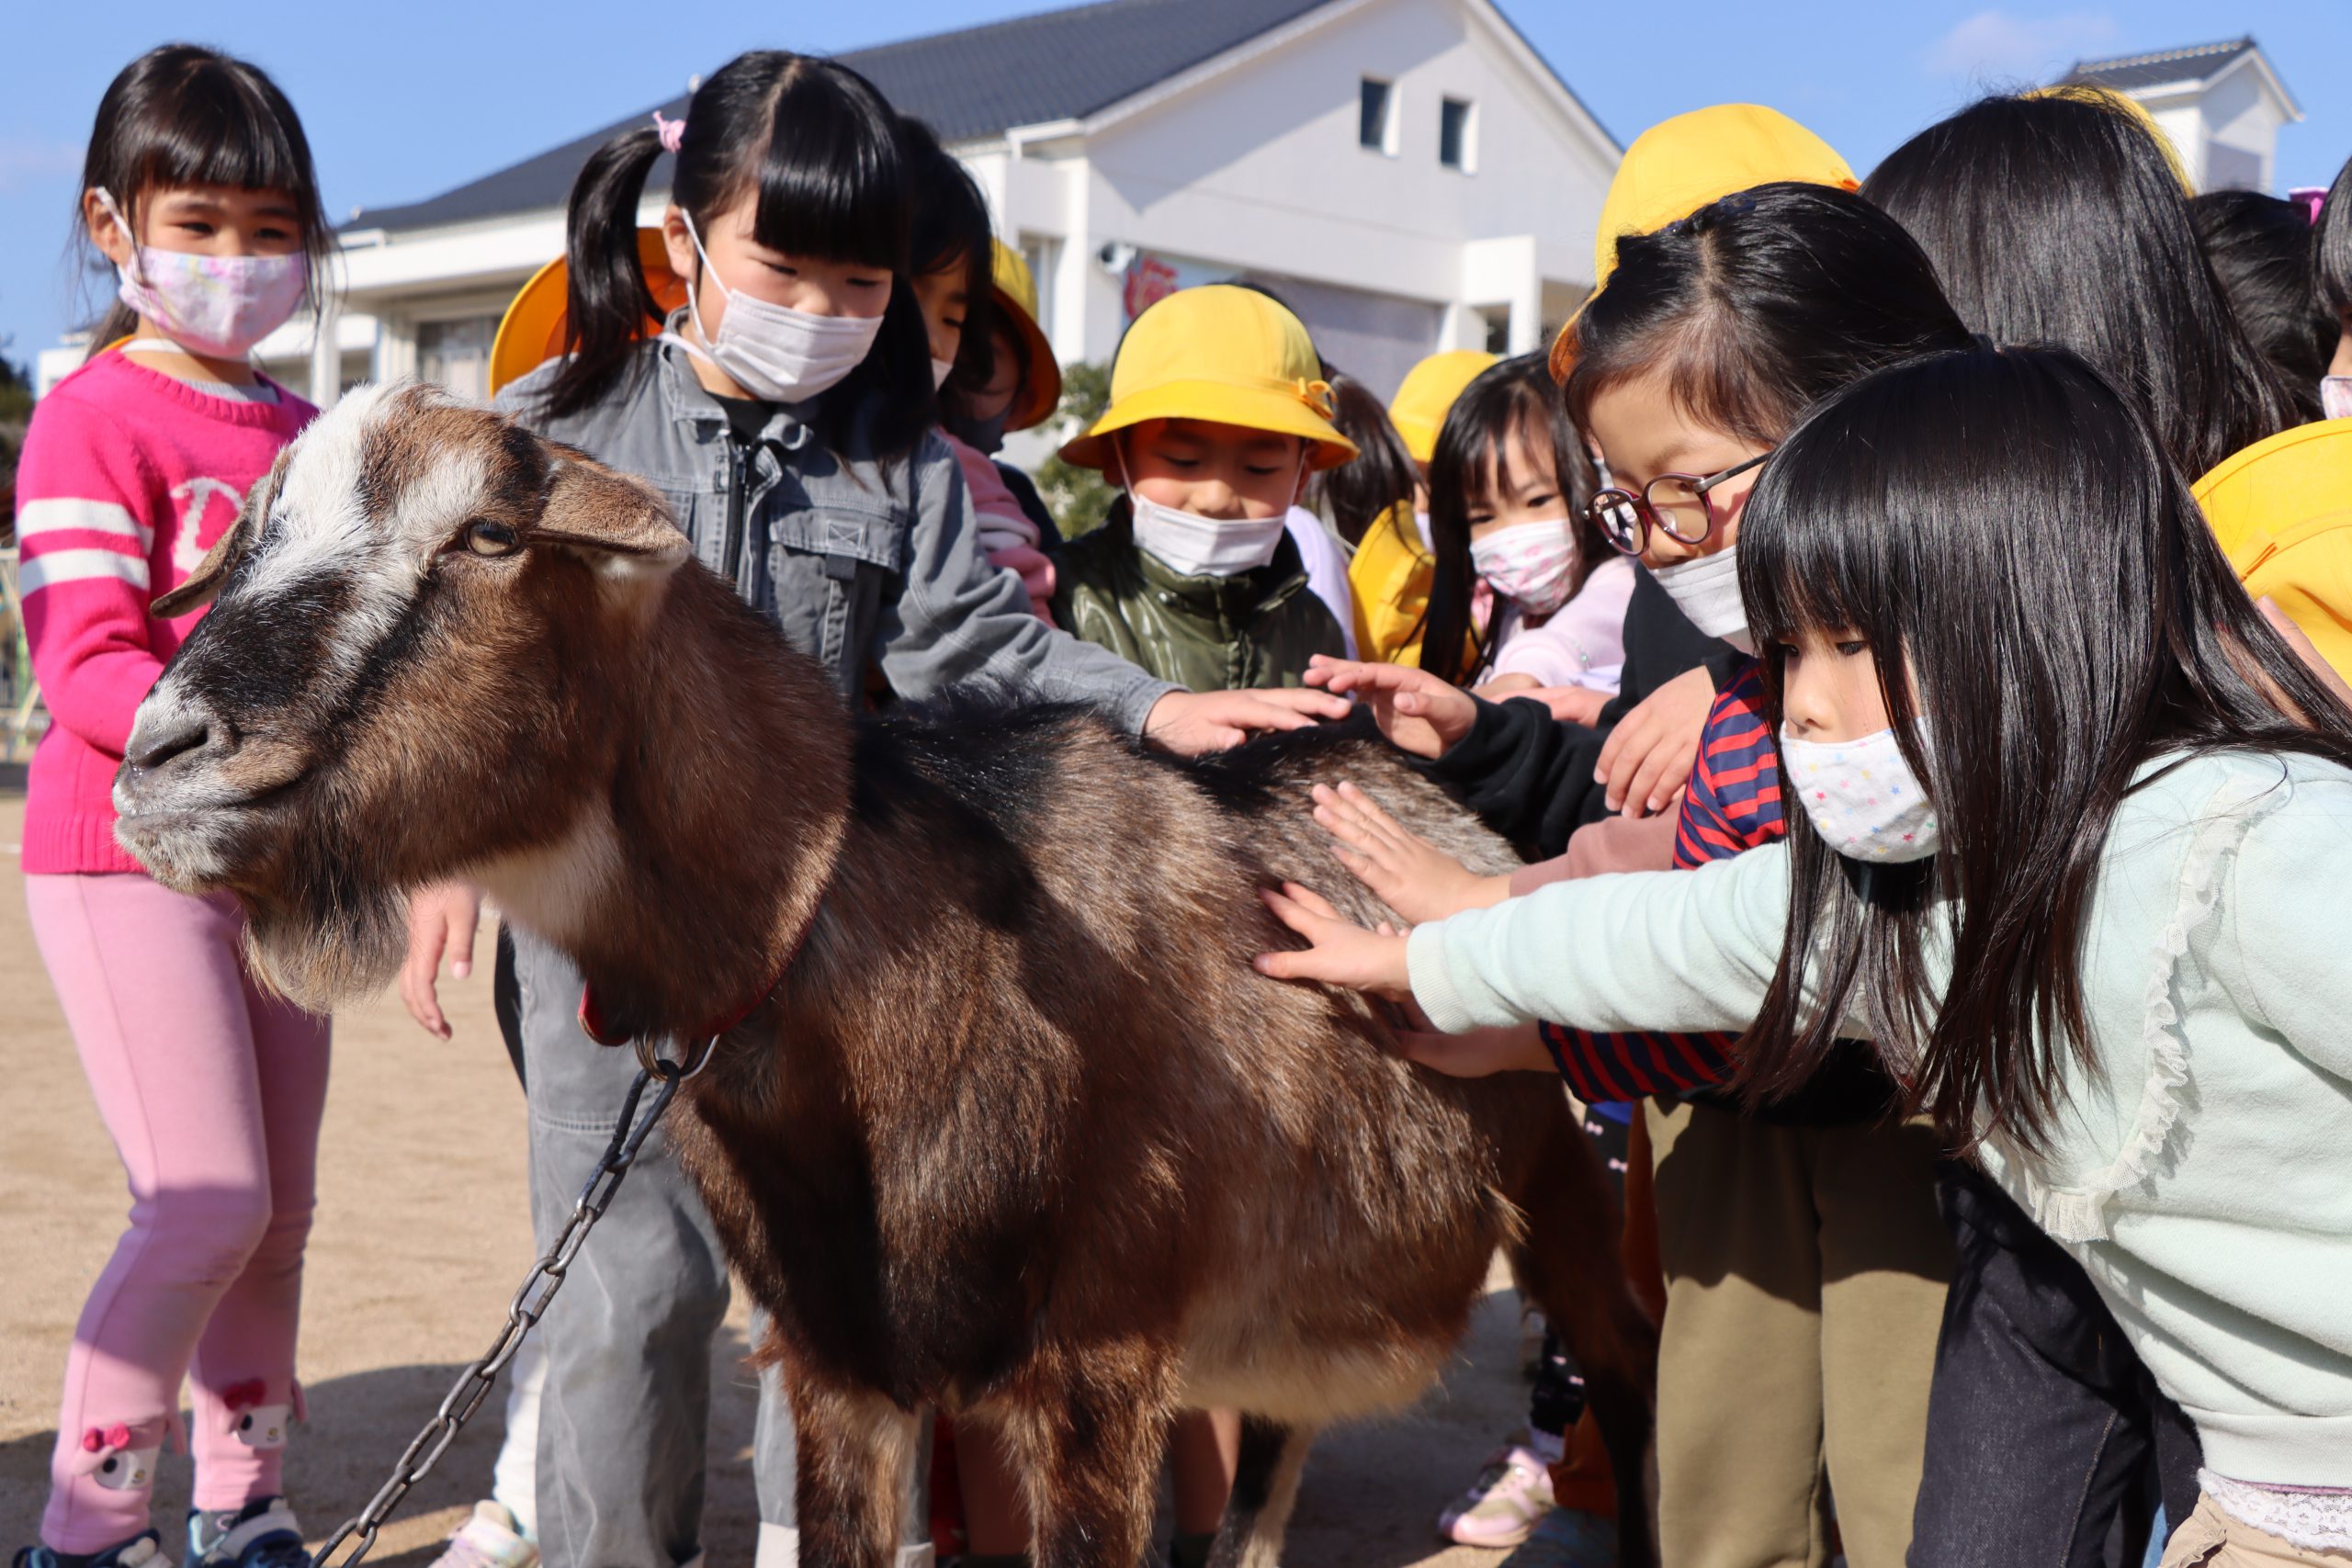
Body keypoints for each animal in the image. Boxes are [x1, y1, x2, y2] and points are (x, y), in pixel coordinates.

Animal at [110, 383, 1656, 1568]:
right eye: (246, 541)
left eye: (489, 532)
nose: (162, 759)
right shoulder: (839, 1355)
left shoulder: (1098, 1364)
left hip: (1585, 1180)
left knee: (1629, 1367)